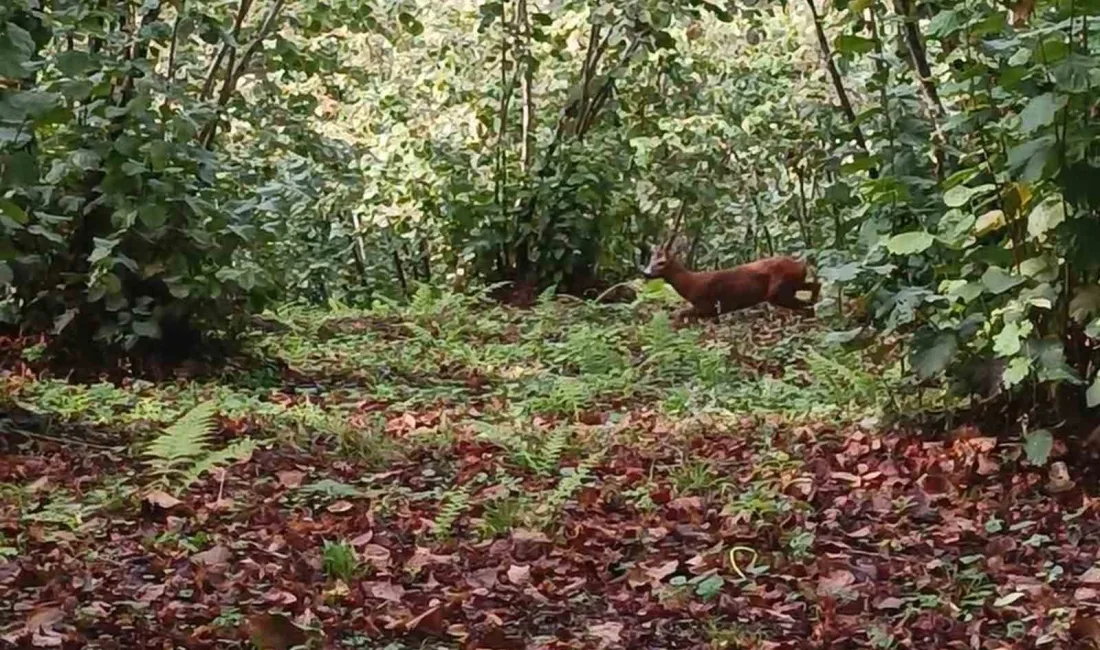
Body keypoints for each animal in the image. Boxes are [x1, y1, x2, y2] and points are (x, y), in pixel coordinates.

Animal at [642, 208, 818, 323]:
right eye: (650, 260)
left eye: (661, 262)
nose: (646, 272)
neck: (690, 284)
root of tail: (801, 264)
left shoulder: (708, 307)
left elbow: (679, 314)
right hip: (792, 284)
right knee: (815, 287)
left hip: (779, 290)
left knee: (805, 302)